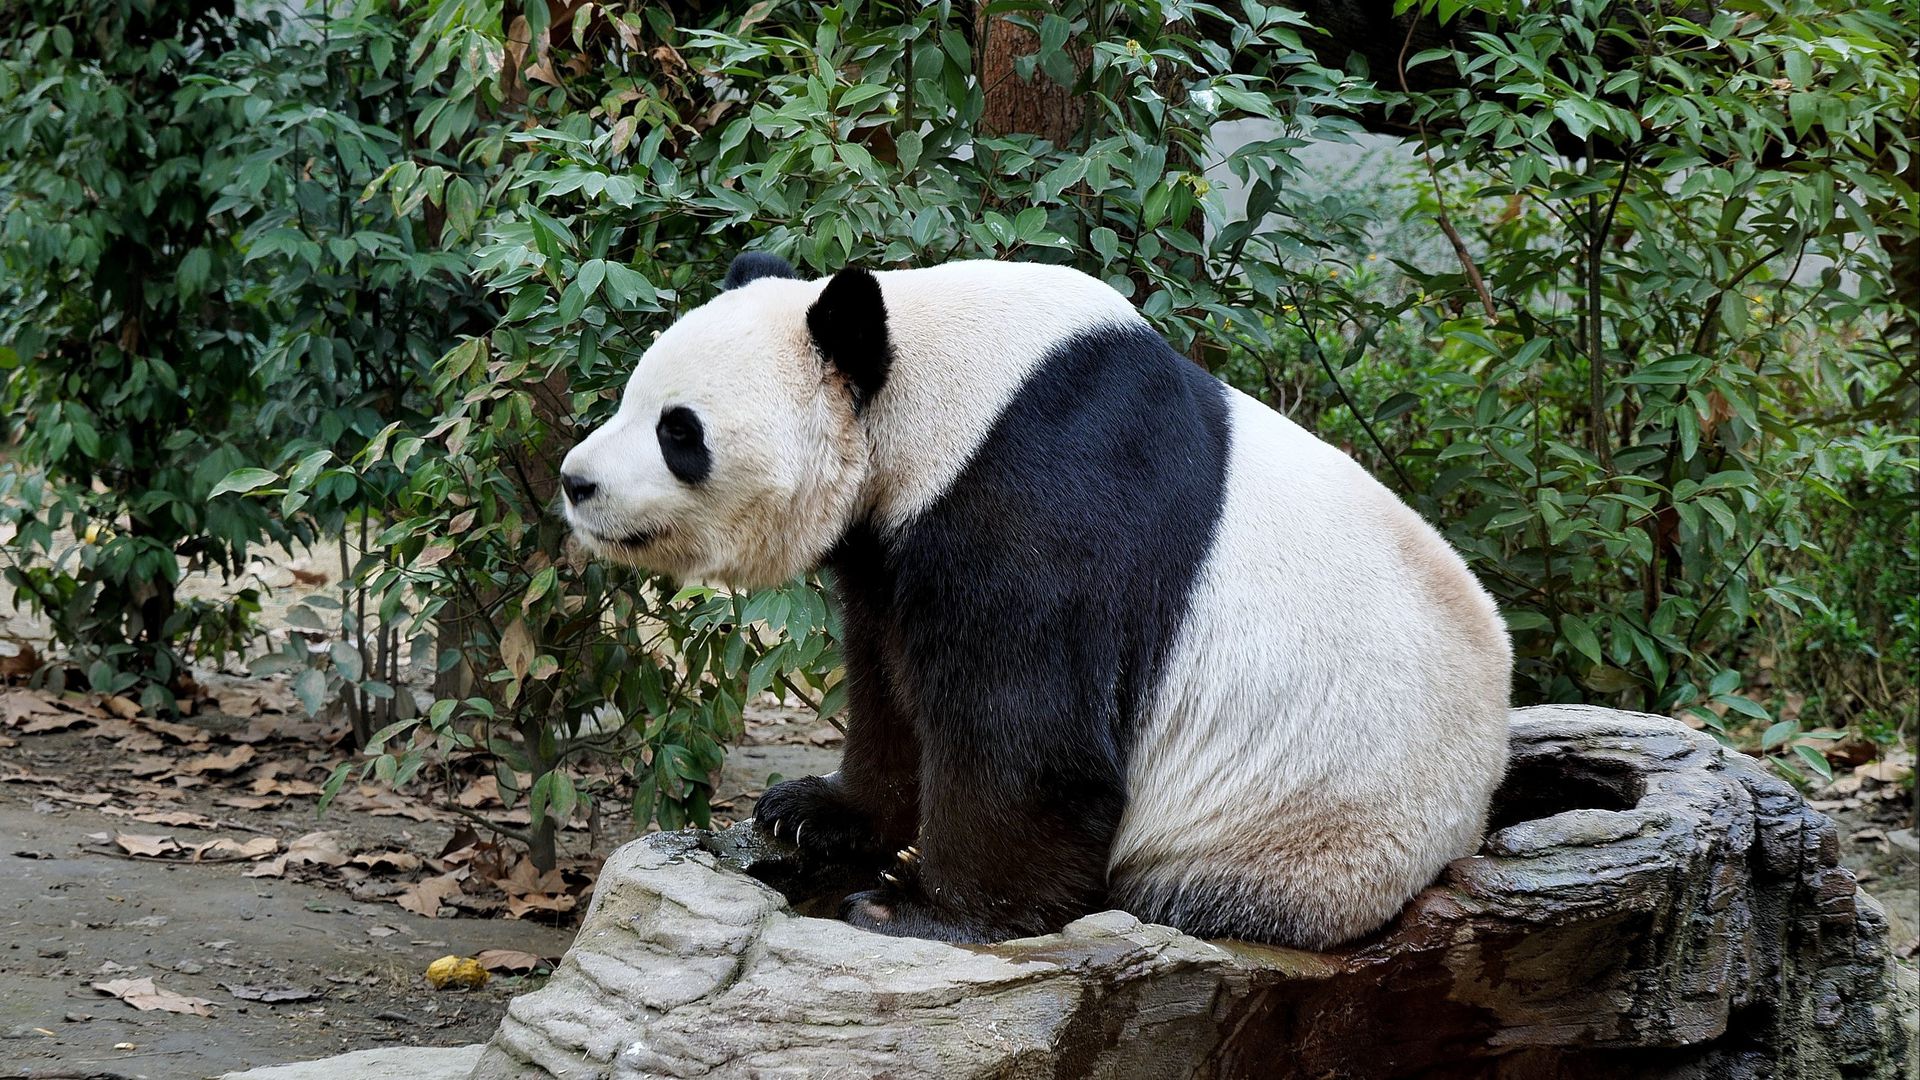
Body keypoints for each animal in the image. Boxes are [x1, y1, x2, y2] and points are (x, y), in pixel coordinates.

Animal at [558, 253, 1512, 949]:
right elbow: (890, 682)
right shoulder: (892, 543)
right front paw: (810, 813)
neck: (936, 392)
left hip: (1299, 831)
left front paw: (913, 911)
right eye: (630, 400)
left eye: (679, 432)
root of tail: (1470, 817)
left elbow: (1025, 738)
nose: (575, 482)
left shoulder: (1041, 499)